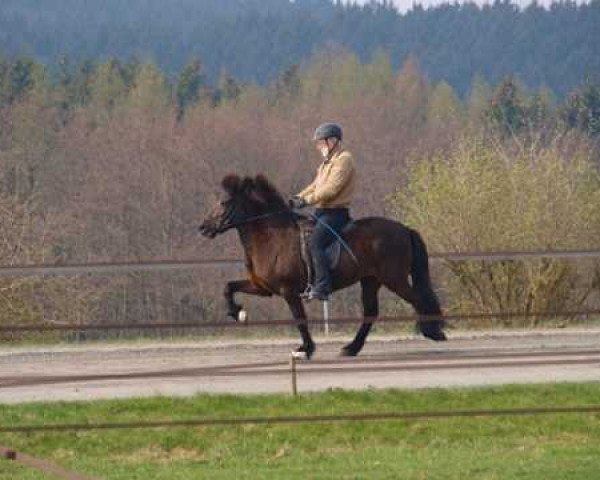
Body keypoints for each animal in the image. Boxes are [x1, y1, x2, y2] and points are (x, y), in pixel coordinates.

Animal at [198, 174, 446, 358]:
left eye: (223, 202)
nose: (203, 227)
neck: (271, 236)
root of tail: (404, 229)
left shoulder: (288, 291)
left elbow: (300, 319)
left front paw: (305, 349)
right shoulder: (262, 287)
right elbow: (228, 287)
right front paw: (238, 313)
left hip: (393, 278)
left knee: (417, 299)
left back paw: (433, 331)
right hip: (371, 280)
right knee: (370, 313)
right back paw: (351, 348)